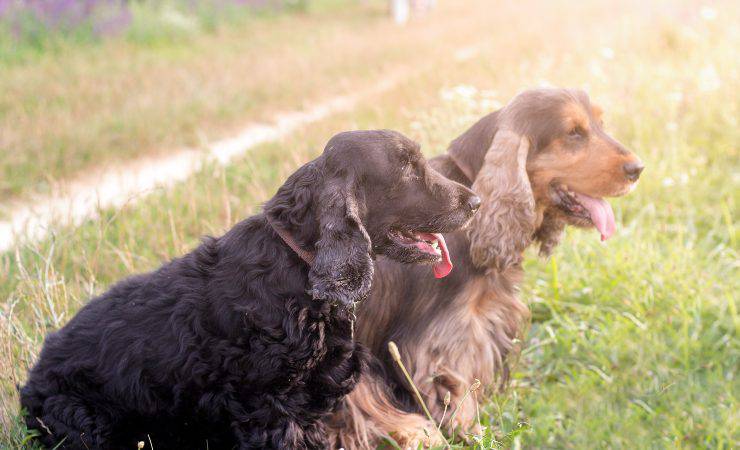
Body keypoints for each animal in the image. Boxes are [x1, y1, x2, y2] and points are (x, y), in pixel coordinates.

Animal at [328, 89, 640, 450]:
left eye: (600, 123)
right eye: (574, 133)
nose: (638, 168)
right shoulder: (446, 337)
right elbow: (455, 390)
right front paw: (473, 433)